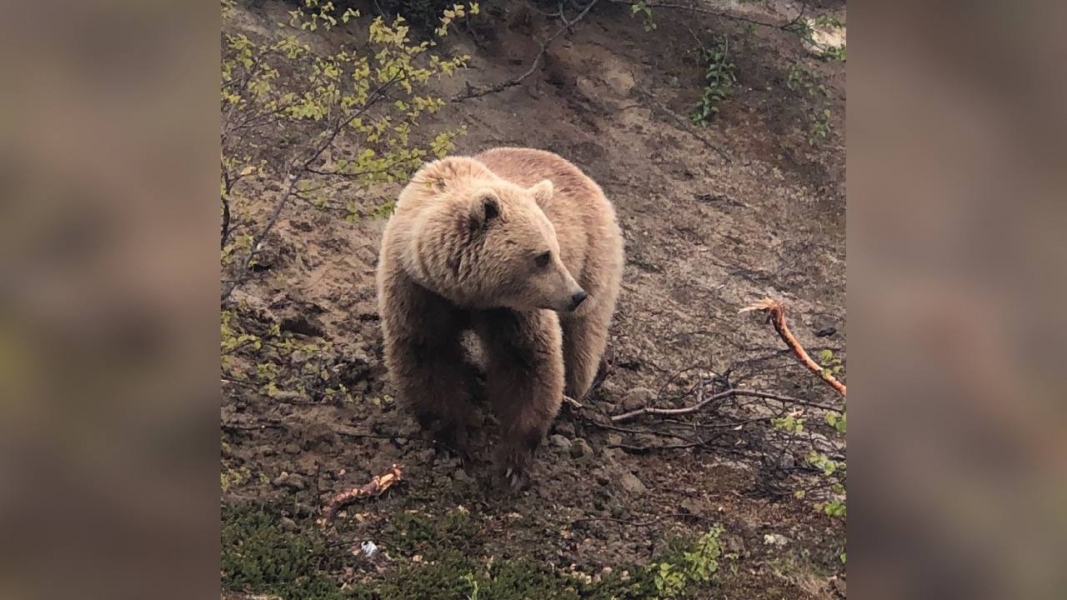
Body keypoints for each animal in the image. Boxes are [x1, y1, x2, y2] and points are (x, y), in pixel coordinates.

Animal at [376, 147, 624, 489]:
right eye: (543, 256)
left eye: (555, 250)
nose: (575, 294)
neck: (465, 292)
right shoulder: (417, 290)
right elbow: (425, 354)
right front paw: (455, 438)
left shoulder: (511, 311)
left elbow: (527, 361)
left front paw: (512, 462)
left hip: (594, 255)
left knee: (582, 337)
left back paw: (572, 395)